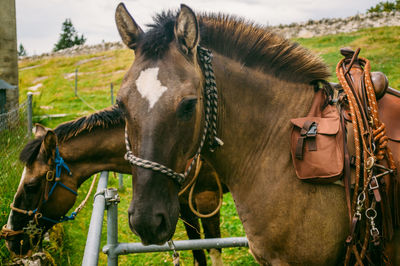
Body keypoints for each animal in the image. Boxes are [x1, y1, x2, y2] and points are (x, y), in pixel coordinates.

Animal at [2, 106, 222, 266]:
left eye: (31, 186)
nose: (10, 238)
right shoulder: (184, 206)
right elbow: (198, 252)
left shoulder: (207, 200)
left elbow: (214, 248)